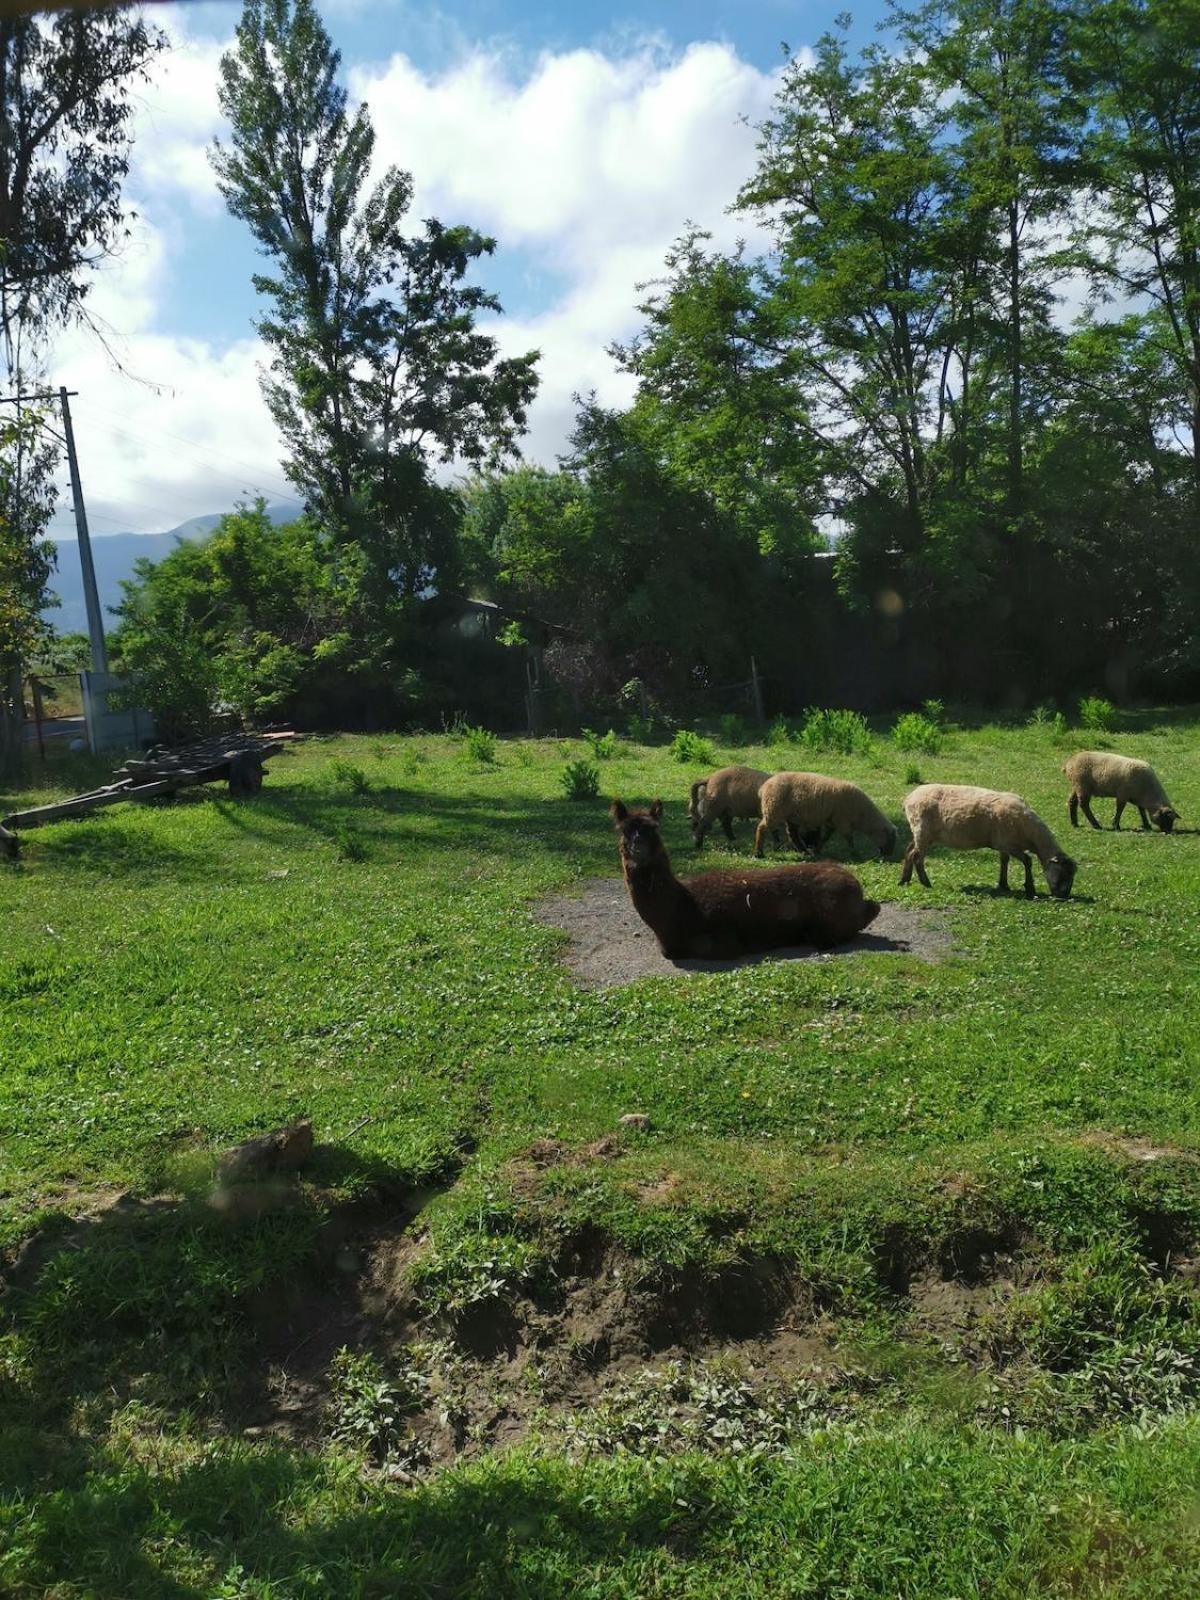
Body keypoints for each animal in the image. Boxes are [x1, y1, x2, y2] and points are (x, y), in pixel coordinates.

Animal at [611, 800, 883, 960]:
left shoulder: (718, 943)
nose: (638, 847)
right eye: (624, 830)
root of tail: (855, 884)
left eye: (654, 828)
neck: (679, 909)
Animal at [755, 774, 896, 864]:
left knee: (792, 834)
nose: (889, 855)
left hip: (791, 815)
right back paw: (758, 853)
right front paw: (854, 853)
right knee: (761, 828)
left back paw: (804, 851)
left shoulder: (832, 821)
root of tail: (763, 787)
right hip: (773, 809)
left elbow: (826, 837)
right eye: (890, 838)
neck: (863, 815)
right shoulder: (843, 821)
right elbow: (849, 838)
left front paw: (817, 850)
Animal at [902, 784, 1081, 902]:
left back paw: (904, 880)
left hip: (923, 833)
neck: (1030, 833)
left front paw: (1003, 884)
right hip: (923, 830)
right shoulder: (1009, 844)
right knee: (917, 856)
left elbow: (1004, 861)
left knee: (909, 851)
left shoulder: (1004, 846)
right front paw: (1030, 888)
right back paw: (925, 883)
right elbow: (1028, 861)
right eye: (1063, 874)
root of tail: (909, 797)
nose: (1064, 896)